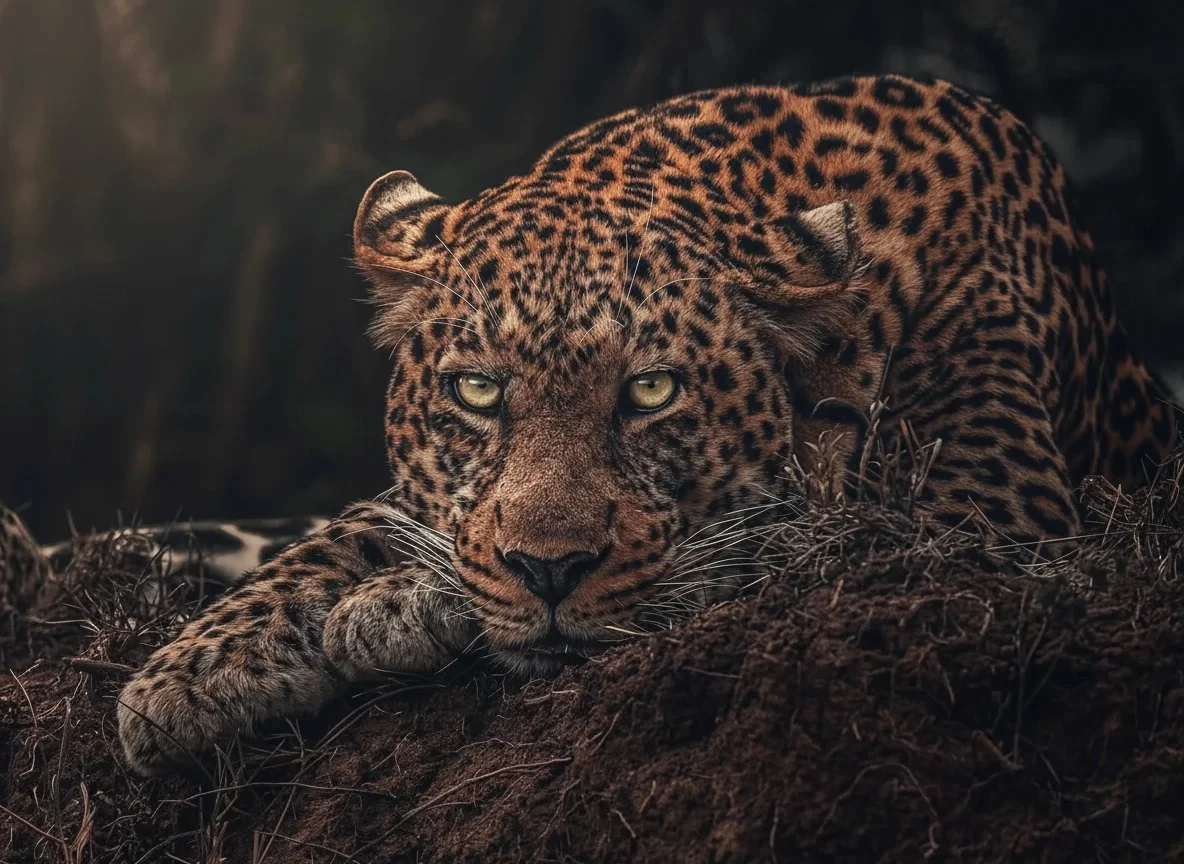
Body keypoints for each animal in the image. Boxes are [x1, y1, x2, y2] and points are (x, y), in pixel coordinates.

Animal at [103, 74, 1178, 775]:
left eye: (653, 392)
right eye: (478, 392)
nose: (548, 572)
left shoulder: (989, 519)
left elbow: (774, 541)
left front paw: (400, 603)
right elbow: (346, 529)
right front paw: (191, 672)